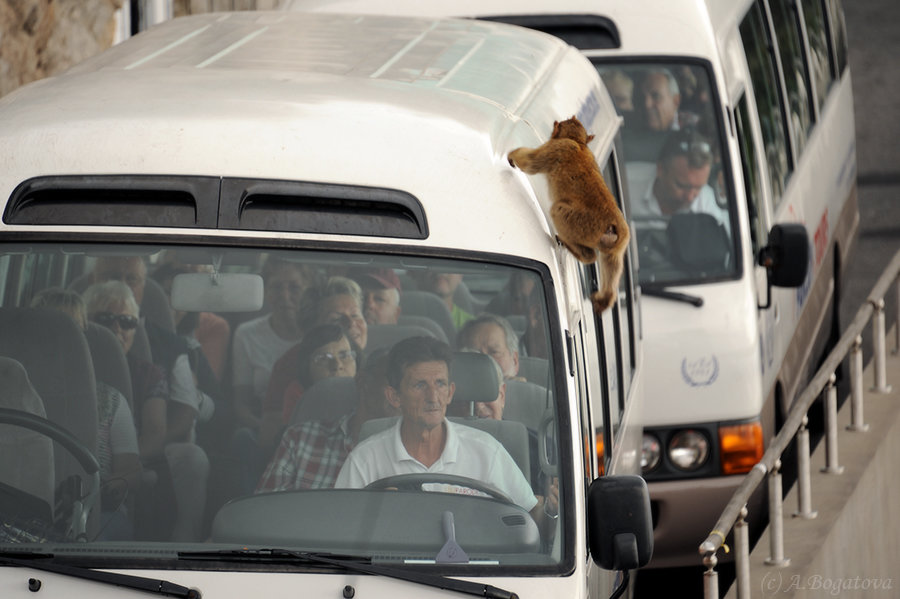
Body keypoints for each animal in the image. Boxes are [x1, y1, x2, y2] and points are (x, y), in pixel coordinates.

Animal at [510, 116, 628, 314]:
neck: (578, 142)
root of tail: (613, 226)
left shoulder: (559, 147)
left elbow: (531, 164)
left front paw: (512, 155)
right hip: (617, 242)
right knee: (611, 260)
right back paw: (605, 298)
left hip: (583, 224)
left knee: (557, 210)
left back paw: (581, 253)